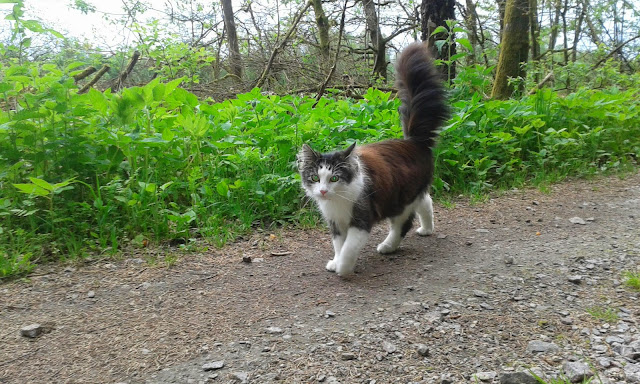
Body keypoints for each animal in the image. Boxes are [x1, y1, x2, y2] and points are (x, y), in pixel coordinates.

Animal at [298, 42, 448, 276]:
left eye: (334, 178)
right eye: (315, 178)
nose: (322, 191)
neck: (338, 201)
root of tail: (413, 142)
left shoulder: (361, 218)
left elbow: (349, 247)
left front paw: (343, 268)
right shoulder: (336, 223)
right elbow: (338, 245)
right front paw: (335, 261)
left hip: (400, 199)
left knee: (403, 223)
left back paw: (388, 246)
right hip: (409, 194)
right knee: (426, 200)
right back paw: (426, 228)